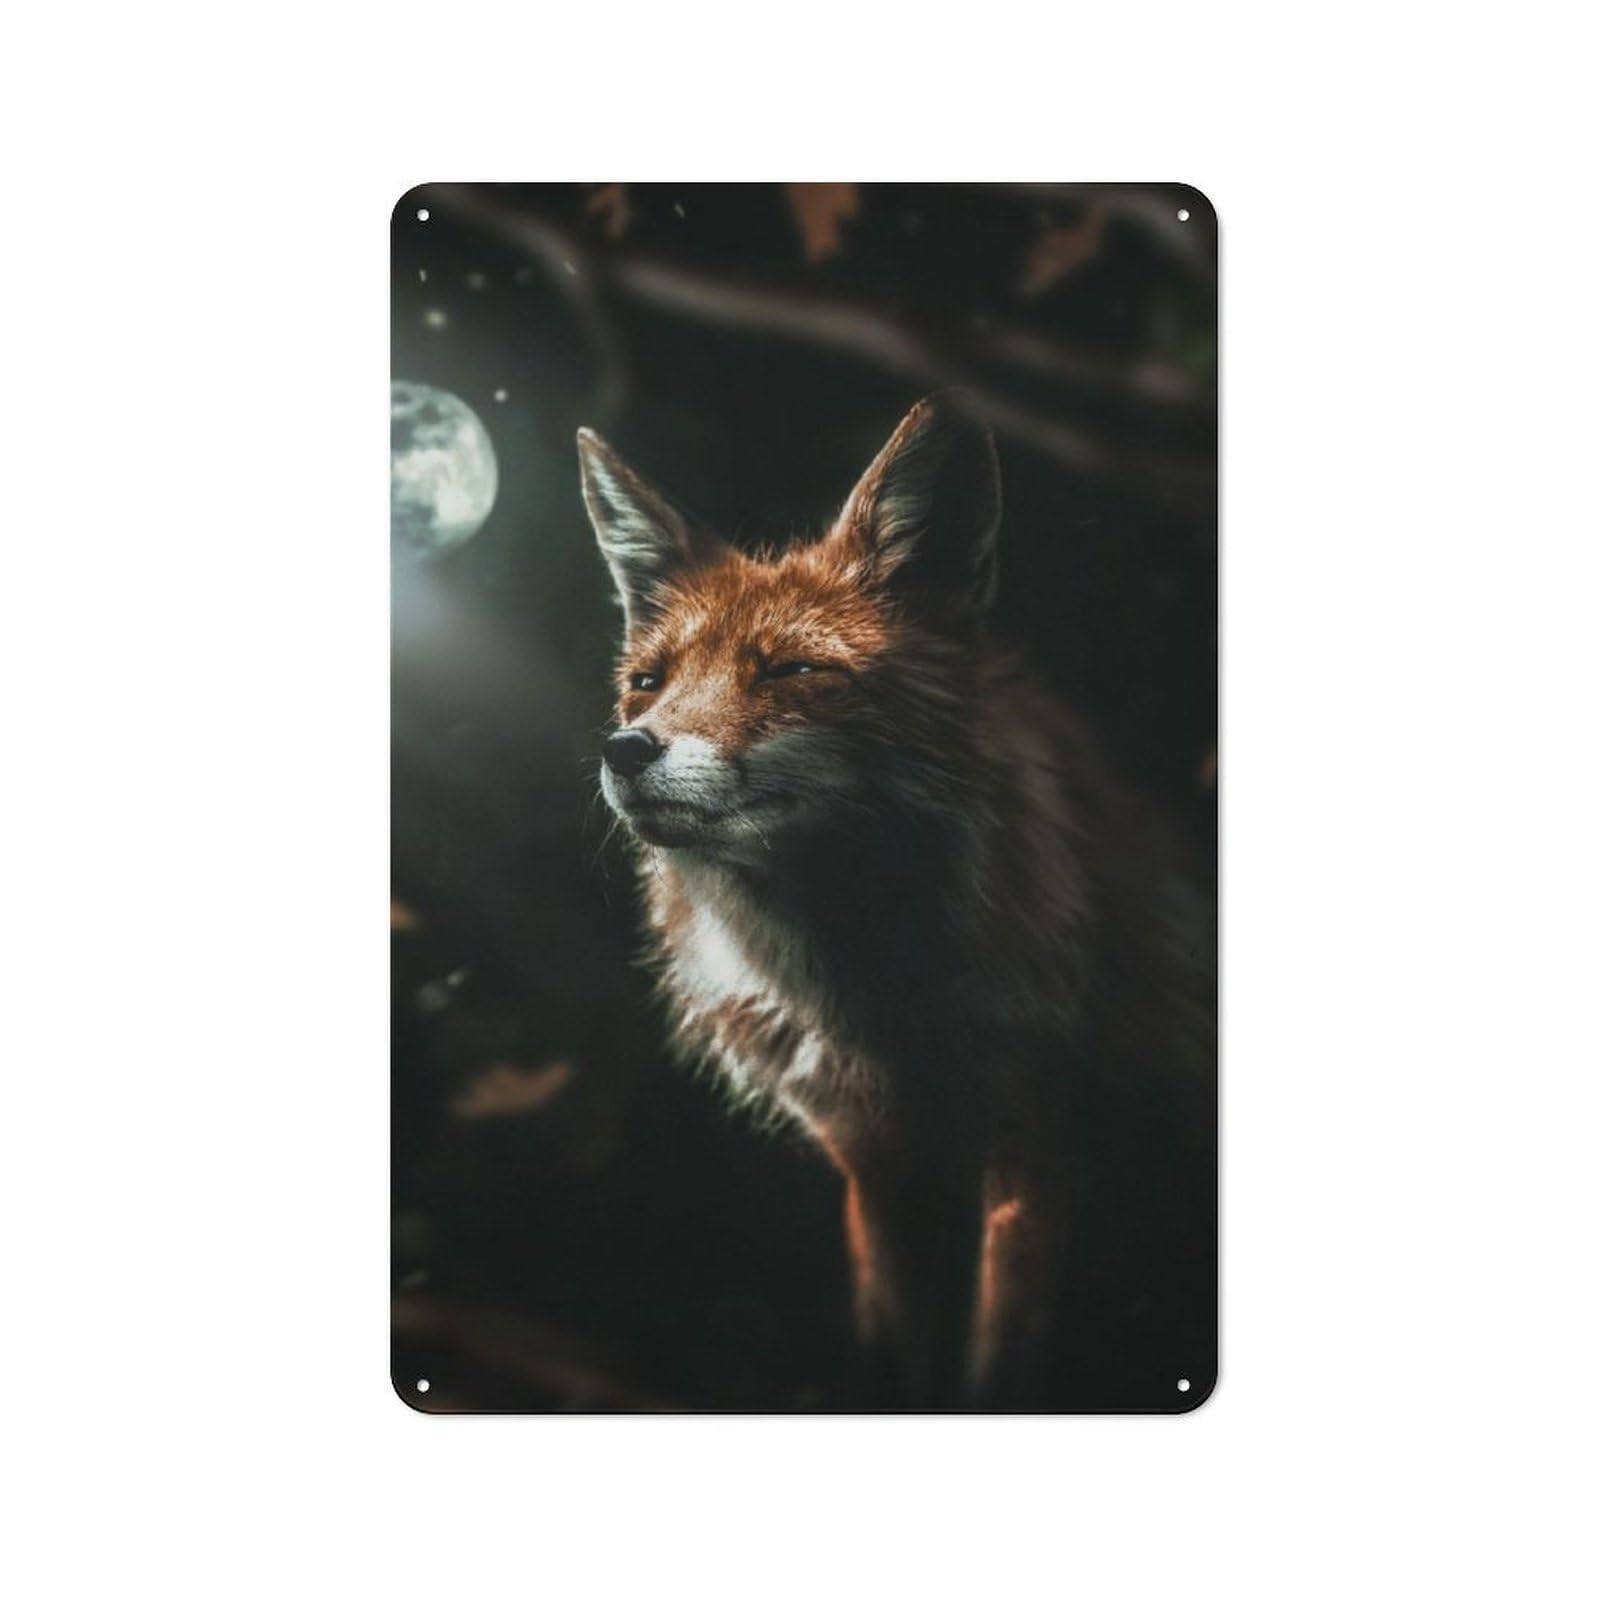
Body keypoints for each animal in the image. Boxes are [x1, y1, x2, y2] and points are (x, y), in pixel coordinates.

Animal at [578, 394, 1215, 1410]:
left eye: (792, 673)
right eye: (649, 681)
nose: (626, 750)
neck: (870, 999)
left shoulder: (1031, 1142)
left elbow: (1002, 1364)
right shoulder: (871, 1162)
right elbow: (889, 1352)